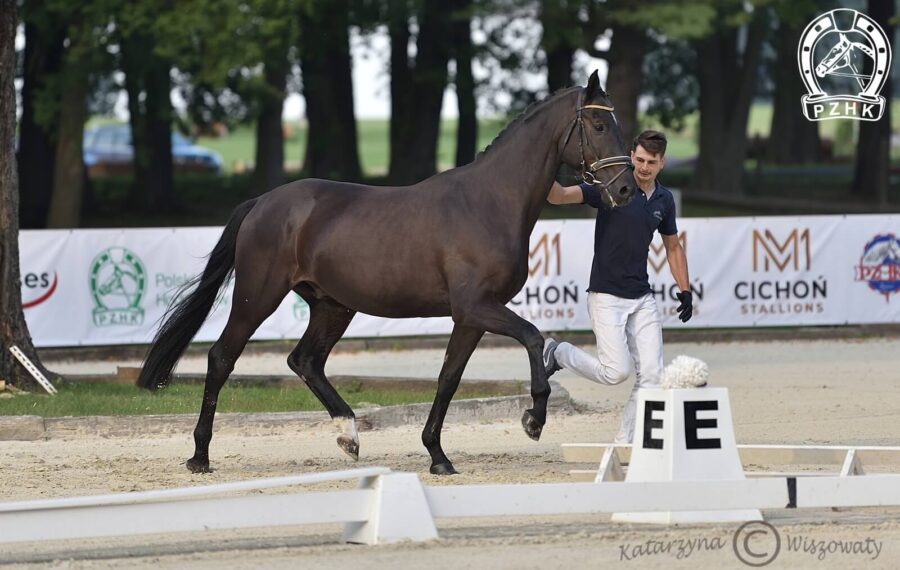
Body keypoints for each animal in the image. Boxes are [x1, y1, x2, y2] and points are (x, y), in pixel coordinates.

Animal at [137, 70, 636, 470]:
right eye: (598, 125)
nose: (627, 189)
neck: (489, 202)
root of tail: (263, 202)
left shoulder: (470, 317)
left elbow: (449, 378)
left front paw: (437, 456)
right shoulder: (477, 307)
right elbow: (533, 338)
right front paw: (533, 419)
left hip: (333, 306)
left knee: (305, 361)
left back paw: (349, 435)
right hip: (257, 296)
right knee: (222, 357)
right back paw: (200, 456)